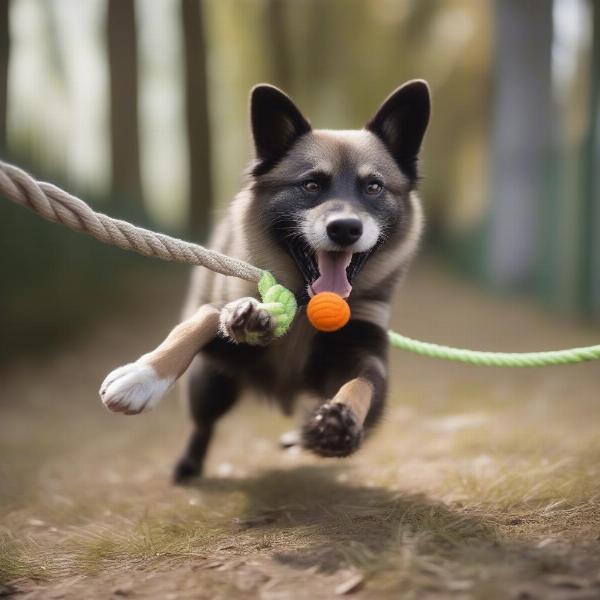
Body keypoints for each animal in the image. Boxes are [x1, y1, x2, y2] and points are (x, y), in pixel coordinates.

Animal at [102, 79, 432, 482]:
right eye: (311, 185)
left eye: (373, 187)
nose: (345, 229)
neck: (306, 307)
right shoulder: (225, 340)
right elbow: (203, 320)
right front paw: (141, 378)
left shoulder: (365, 354)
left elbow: (361, 382)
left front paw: (339, 421)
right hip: (210, 387)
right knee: (202, 425)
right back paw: (188, 463)